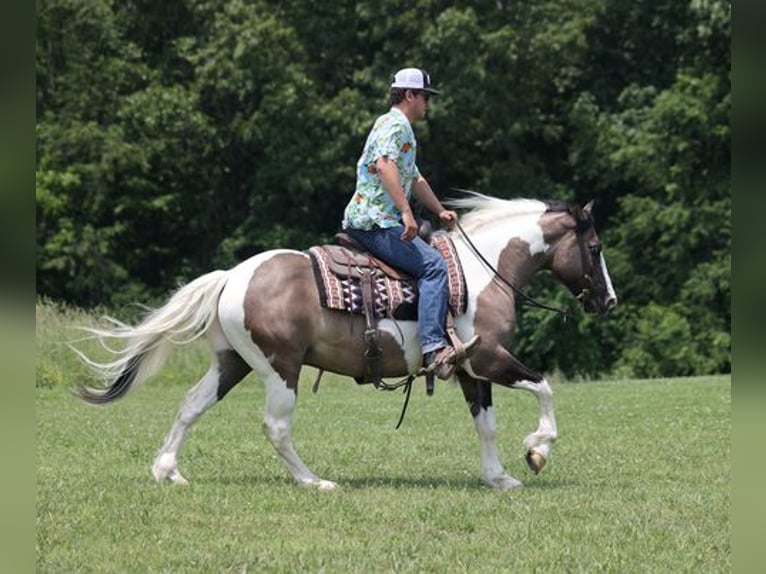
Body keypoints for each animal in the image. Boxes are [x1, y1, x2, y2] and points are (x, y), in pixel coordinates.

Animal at [78, 196, 616, 492]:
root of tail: (232, 276)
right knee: (276, 427)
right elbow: (544, 388)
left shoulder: (469, 368)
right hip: (280, 367)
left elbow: (485, 424)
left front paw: (499, 477)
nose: (607, 300)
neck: (484, 271)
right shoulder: (488, 358)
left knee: (191, 406)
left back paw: (166, 471)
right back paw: (313, 481)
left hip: (233, 363)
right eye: (594, 248)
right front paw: (537, 449)